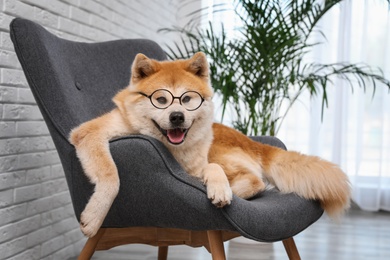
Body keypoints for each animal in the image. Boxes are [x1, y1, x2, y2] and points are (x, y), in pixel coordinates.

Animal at [68, 52, 352, 238]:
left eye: (187, 99)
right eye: (161, 99)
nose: (177, 116)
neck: (173, 149)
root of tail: (251, 141)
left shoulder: (197, 166)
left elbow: (213, 170)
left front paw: (220, 189)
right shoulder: (89, 134)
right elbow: (111, 176)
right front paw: (94, 217)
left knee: (256, 181)